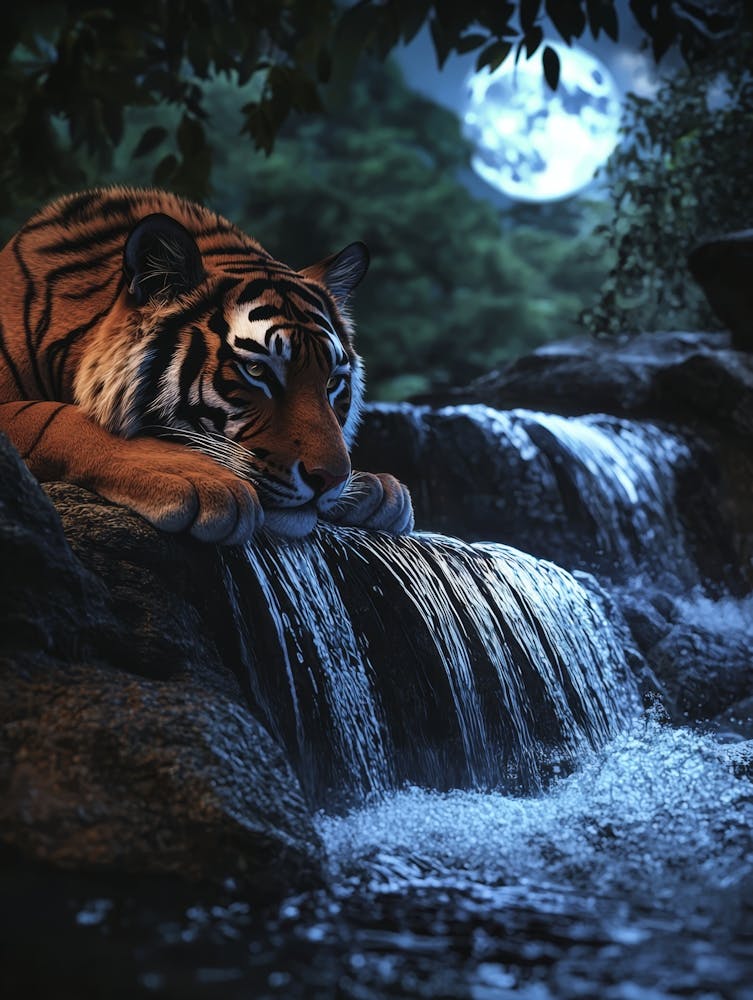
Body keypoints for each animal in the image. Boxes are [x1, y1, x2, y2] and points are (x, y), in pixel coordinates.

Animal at [0, 186, 413, 543]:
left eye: (330, 383)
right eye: (258, 372)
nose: (330, 479)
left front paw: (374, 487)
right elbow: (56, 419)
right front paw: (200, 479)